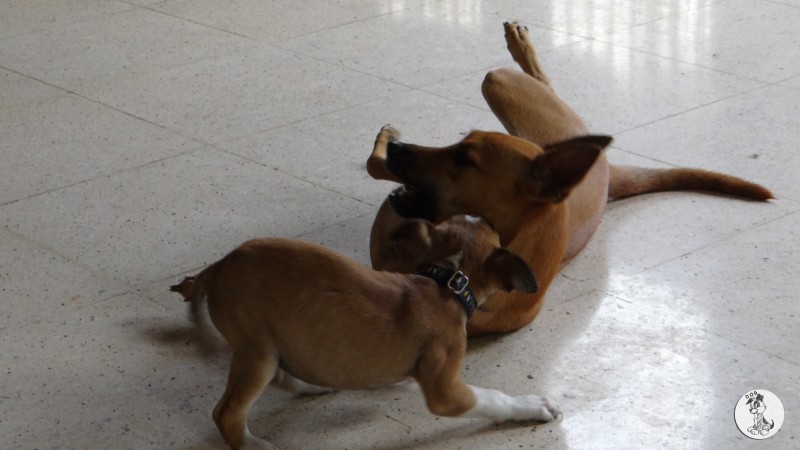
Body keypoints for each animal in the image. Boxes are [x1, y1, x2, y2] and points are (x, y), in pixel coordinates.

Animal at [170, 217, 558, 449]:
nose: (490, 218)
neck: (447, 282)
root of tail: (216, 269)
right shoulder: (446, 391)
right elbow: (493, 397)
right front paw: (532, 406)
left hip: (270, 347)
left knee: (284, 376)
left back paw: (316, 384)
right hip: (257, 351)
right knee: (227, 412)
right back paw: (253, 444)